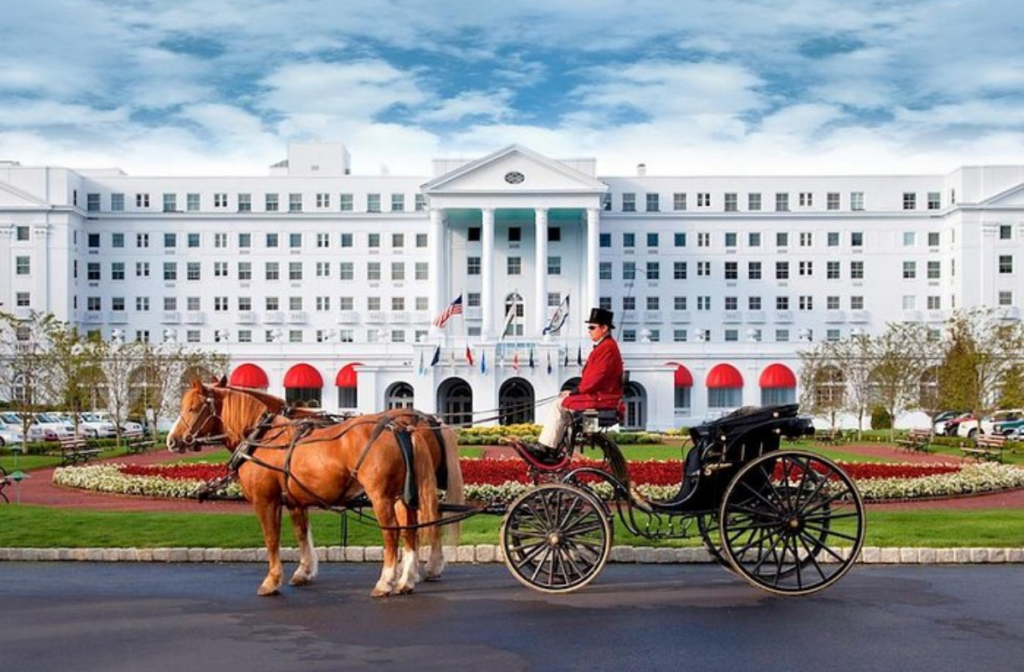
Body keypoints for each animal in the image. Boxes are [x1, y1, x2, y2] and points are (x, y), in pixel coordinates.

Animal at [166, 376, 464, 598]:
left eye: (192, 407)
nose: (172, 440)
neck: (262, 437)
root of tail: (403, 426)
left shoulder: (266, 500)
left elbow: (271, 539)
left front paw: (272, 580)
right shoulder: (295, 499)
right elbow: (301, 534)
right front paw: (303, 571)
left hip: (382, 497)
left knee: (393, 534)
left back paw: (388, 581)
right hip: (403, 495)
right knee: (412, 530)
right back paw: (407, 579)